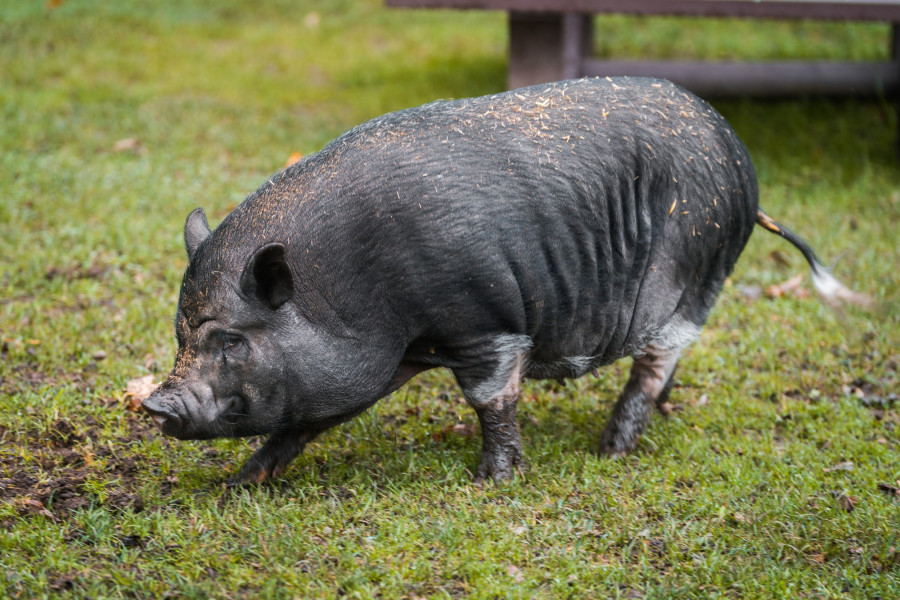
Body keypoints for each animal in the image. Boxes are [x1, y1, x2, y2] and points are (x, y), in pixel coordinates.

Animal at [142, 76, 867, 486]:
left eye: (233, 340)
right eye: (180, 334)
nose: (155, 405)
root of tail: (741, 160)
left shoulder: (485, 324)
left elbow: (491, 400)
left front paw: (493, 483)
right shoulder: (378, 361)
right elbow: (308, 421)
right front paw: (238, 486)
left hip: (696, 273)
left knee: (658, 358)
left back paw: (611, 452)